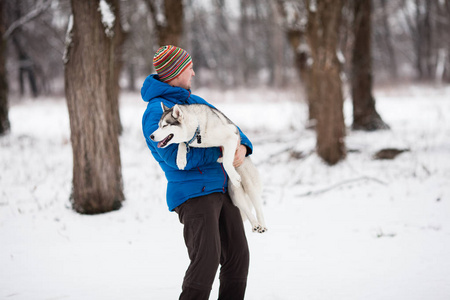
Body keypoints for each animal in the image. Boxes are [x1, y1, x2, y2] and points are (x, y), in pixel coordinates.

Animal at [149, 104, 268, 233]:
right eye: (158, 125)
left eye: (165, 125)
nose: (151, 136)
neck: (197, 129)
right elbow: (182, 143)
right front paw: (180, 159)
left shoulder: (231, 135)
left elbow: (227, 162)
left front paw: (229, 168)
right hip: (235, 195)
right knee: (246, 209)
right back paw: (254, 224)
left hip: (250, 186)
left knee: (258, 207)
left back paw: (262, 225)